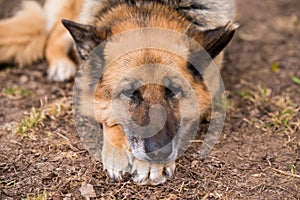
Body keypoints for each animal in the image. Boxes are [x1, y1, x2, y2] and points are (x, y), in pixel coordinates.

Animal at [1, 0, 238, 184]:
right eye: (130, 92)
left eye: (173, 91)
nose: (158, 153)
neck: (148, 5)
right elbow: (109, 116)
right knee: (53, 35)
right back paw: (61, 64)